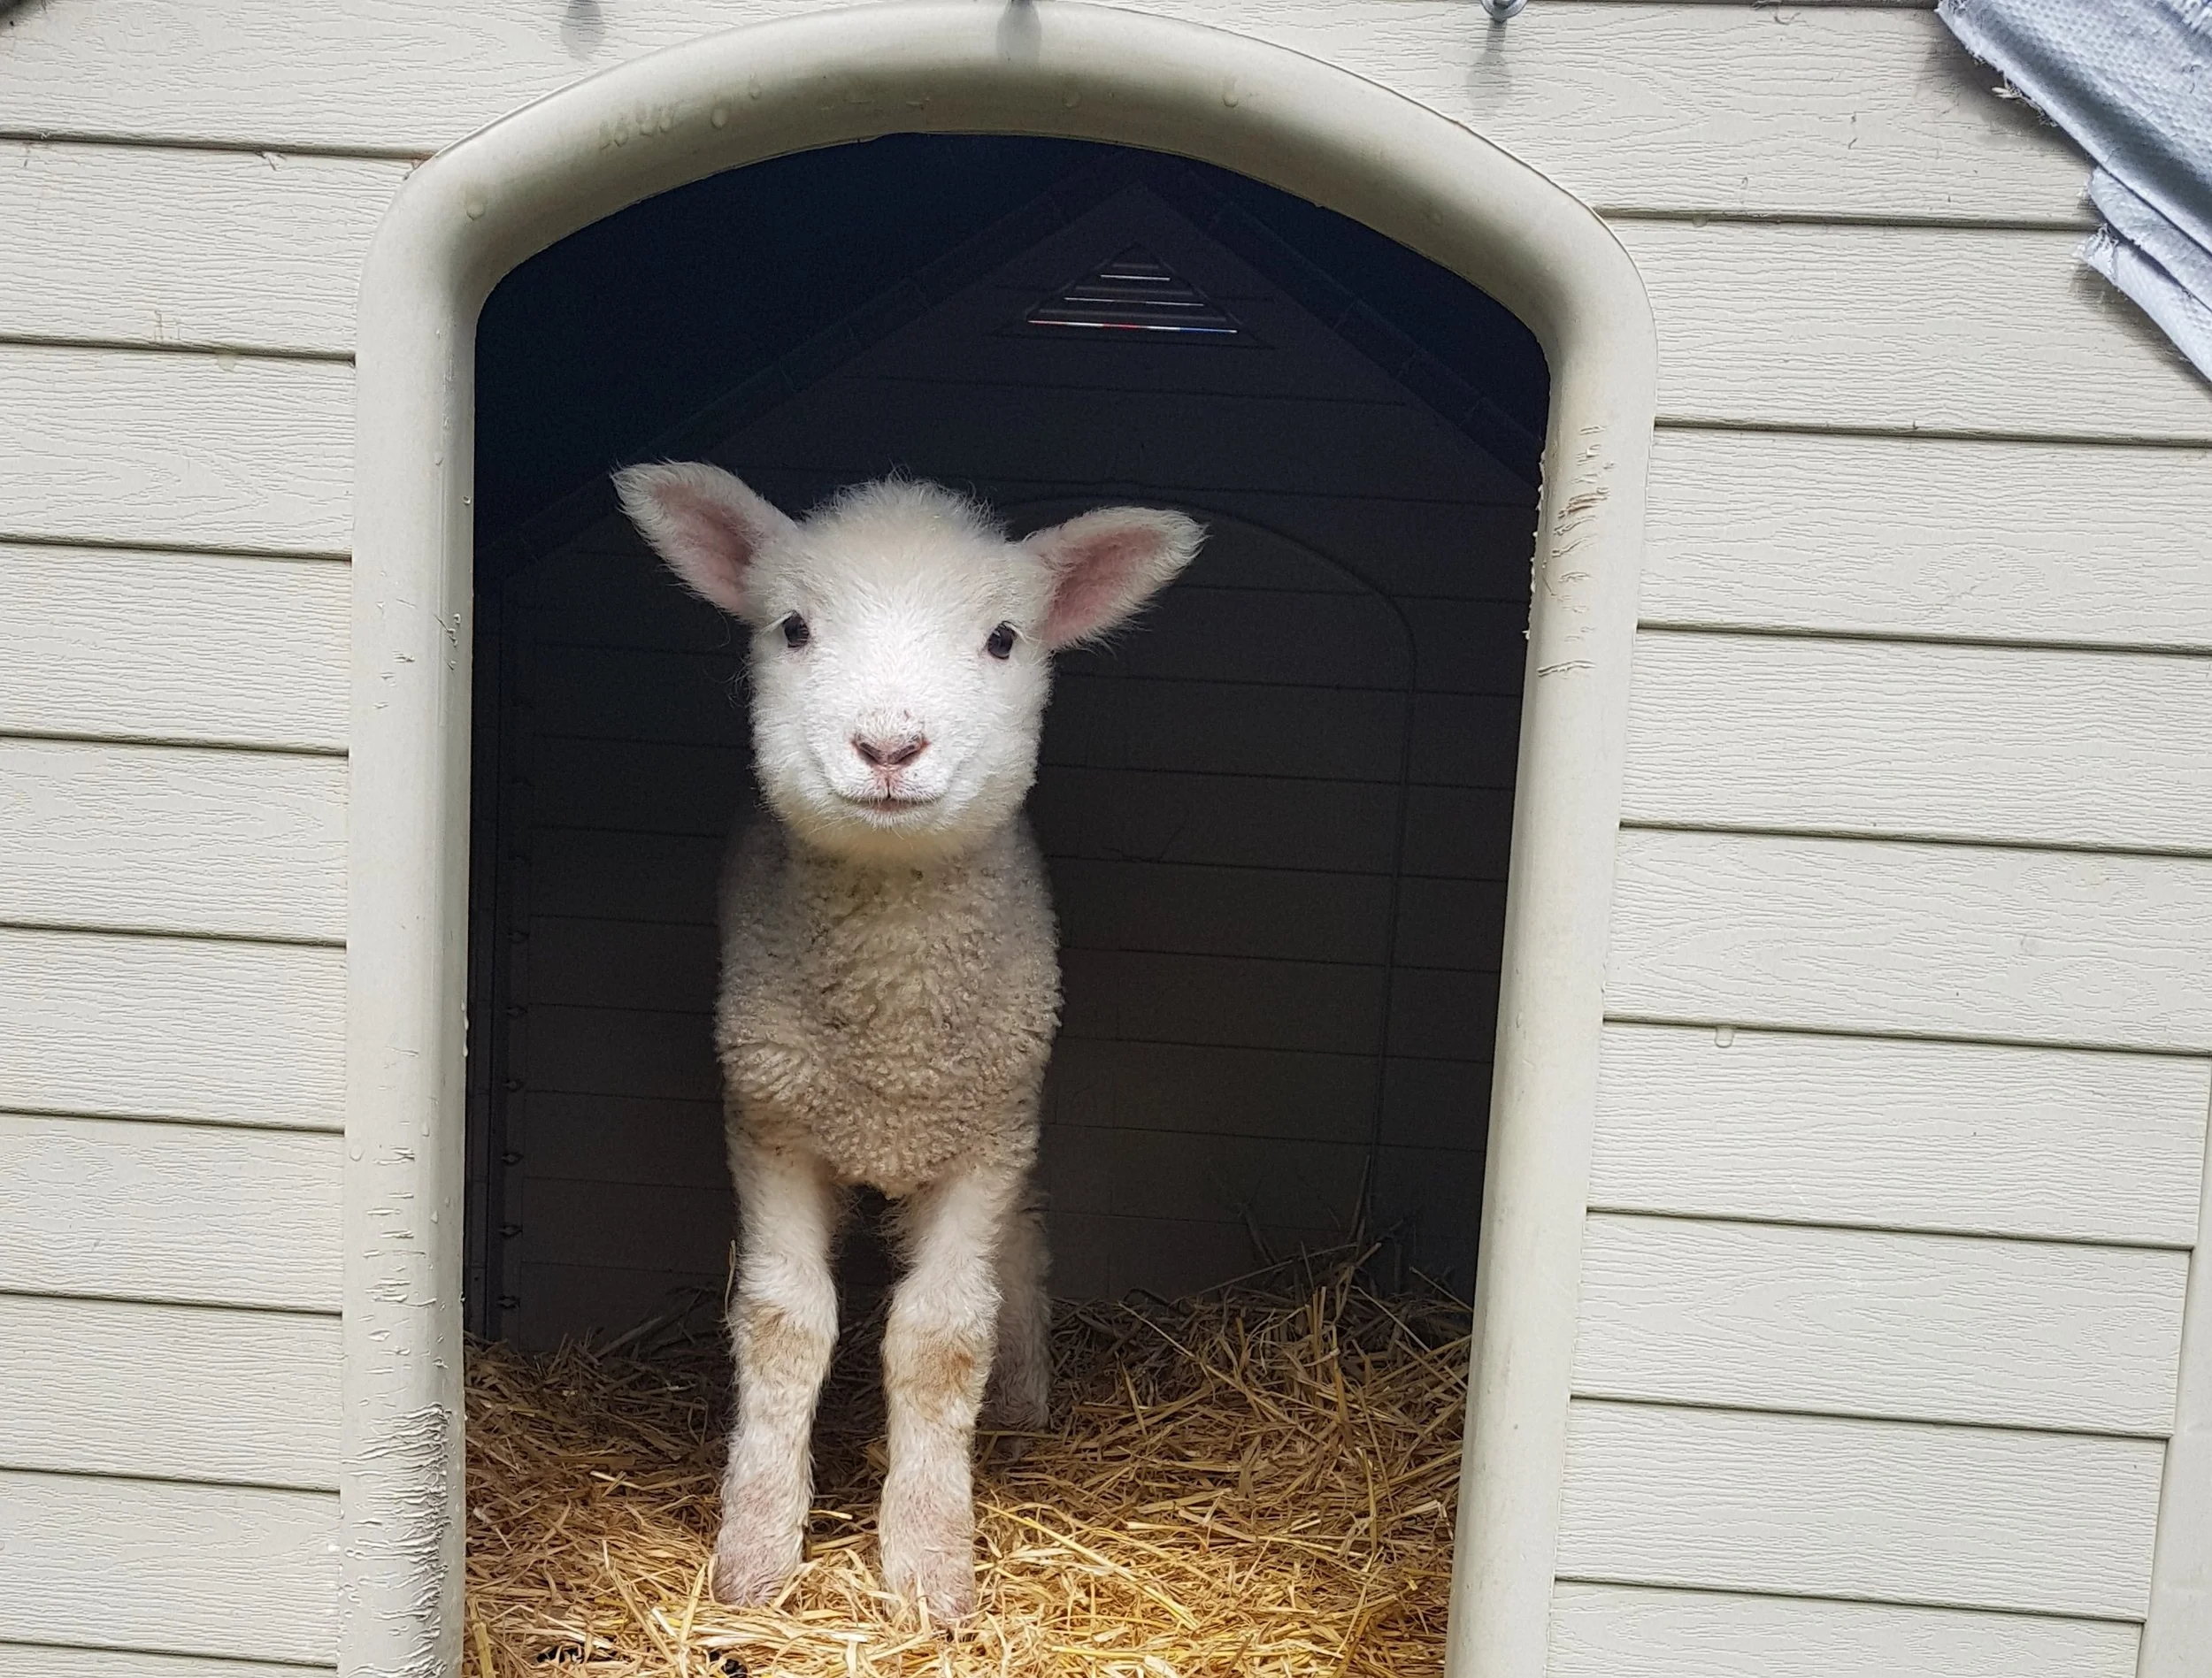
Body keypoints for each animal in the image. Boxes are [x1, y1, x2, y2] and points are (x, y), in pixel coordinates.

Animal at [614, 462, 1203, 1620]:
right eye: (793, 627)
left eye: (1004, 639)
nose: (889, 747)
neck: (891, 1043)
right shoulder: (769, 1121)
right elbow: (784, 1323)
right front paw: (756, 1555)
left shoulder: (985, 1136)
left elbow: (941, 1338)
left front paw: (929, 1567)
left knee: (1022, 1250)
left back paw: (1021, 1398)